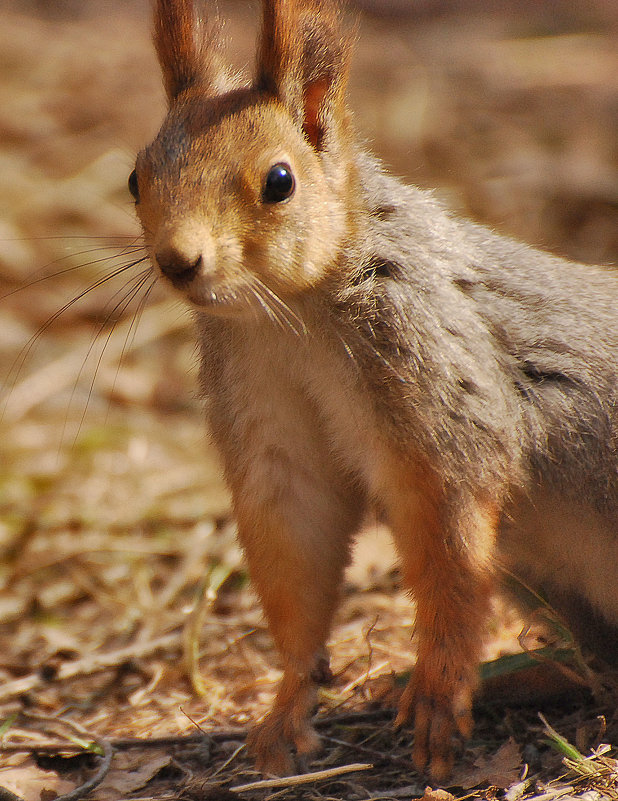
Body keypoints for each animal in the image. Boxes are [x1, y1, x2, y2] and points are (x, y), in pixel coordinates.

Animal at [126, 0, 616, 784]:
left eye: (280, 181)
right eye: (135, 178)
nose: (179, 261)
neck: (292, 314)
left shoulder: (441, 402)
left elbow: (451, 555)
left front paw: (439, 692)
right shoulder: (271, 429)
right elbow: (298, 550)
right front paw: (287, 705)